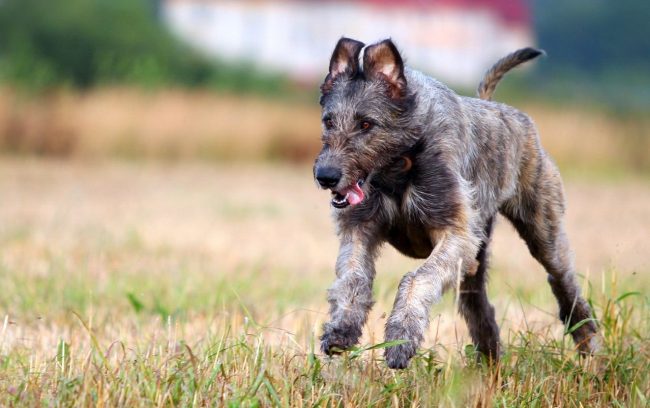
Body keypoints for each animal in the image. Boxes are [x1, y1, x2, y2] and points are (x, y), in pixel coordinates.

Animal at [312, 38, 596, 370]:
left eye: (366, 123)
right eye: (329, 120)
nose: (325, 176)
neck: (400, 165)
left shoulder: (455, 234)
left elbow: (418, 277)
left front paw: (400, 339)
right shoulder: (359, 229)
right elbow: (353, 276)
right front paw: (341, 330)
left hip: (543, 228)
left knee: (564, 284)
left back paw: (591, 350)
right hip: (477, 256)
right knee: (480, 308)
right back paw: (490, 368)